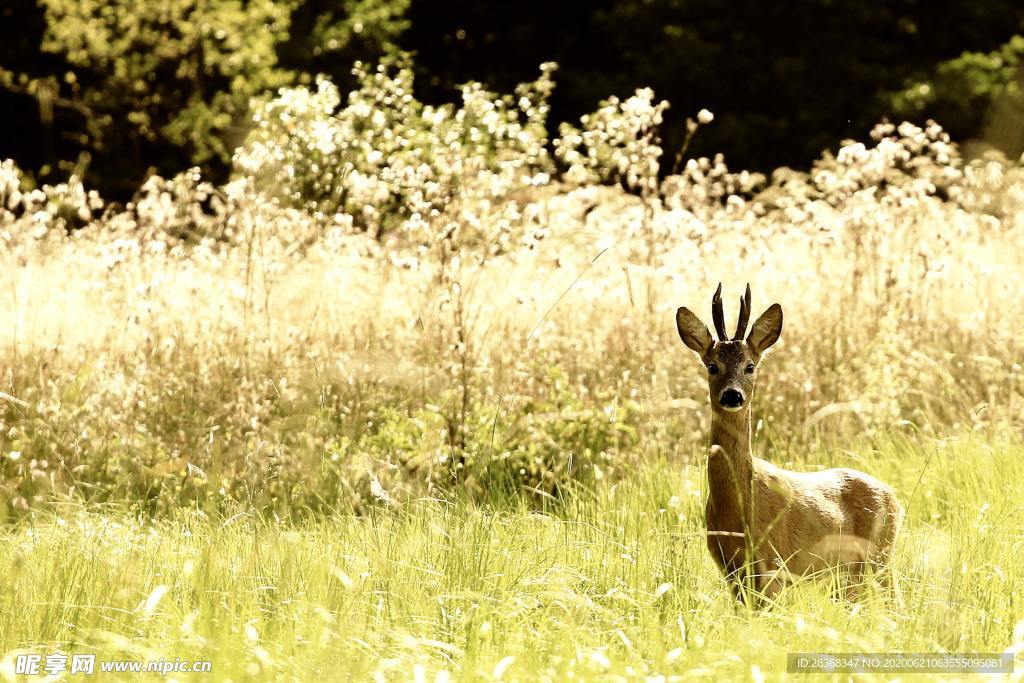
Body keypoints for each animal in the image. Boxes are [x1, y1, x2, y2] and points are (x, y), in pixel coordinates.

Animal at [671, 282, 905, 602]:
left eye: (750, 366)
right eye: (712, 366)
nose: (732, 395)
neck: (737, 509)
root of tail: (895, 497)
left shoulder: (774, 565)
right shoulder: (731, 570)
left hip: (879, 556)